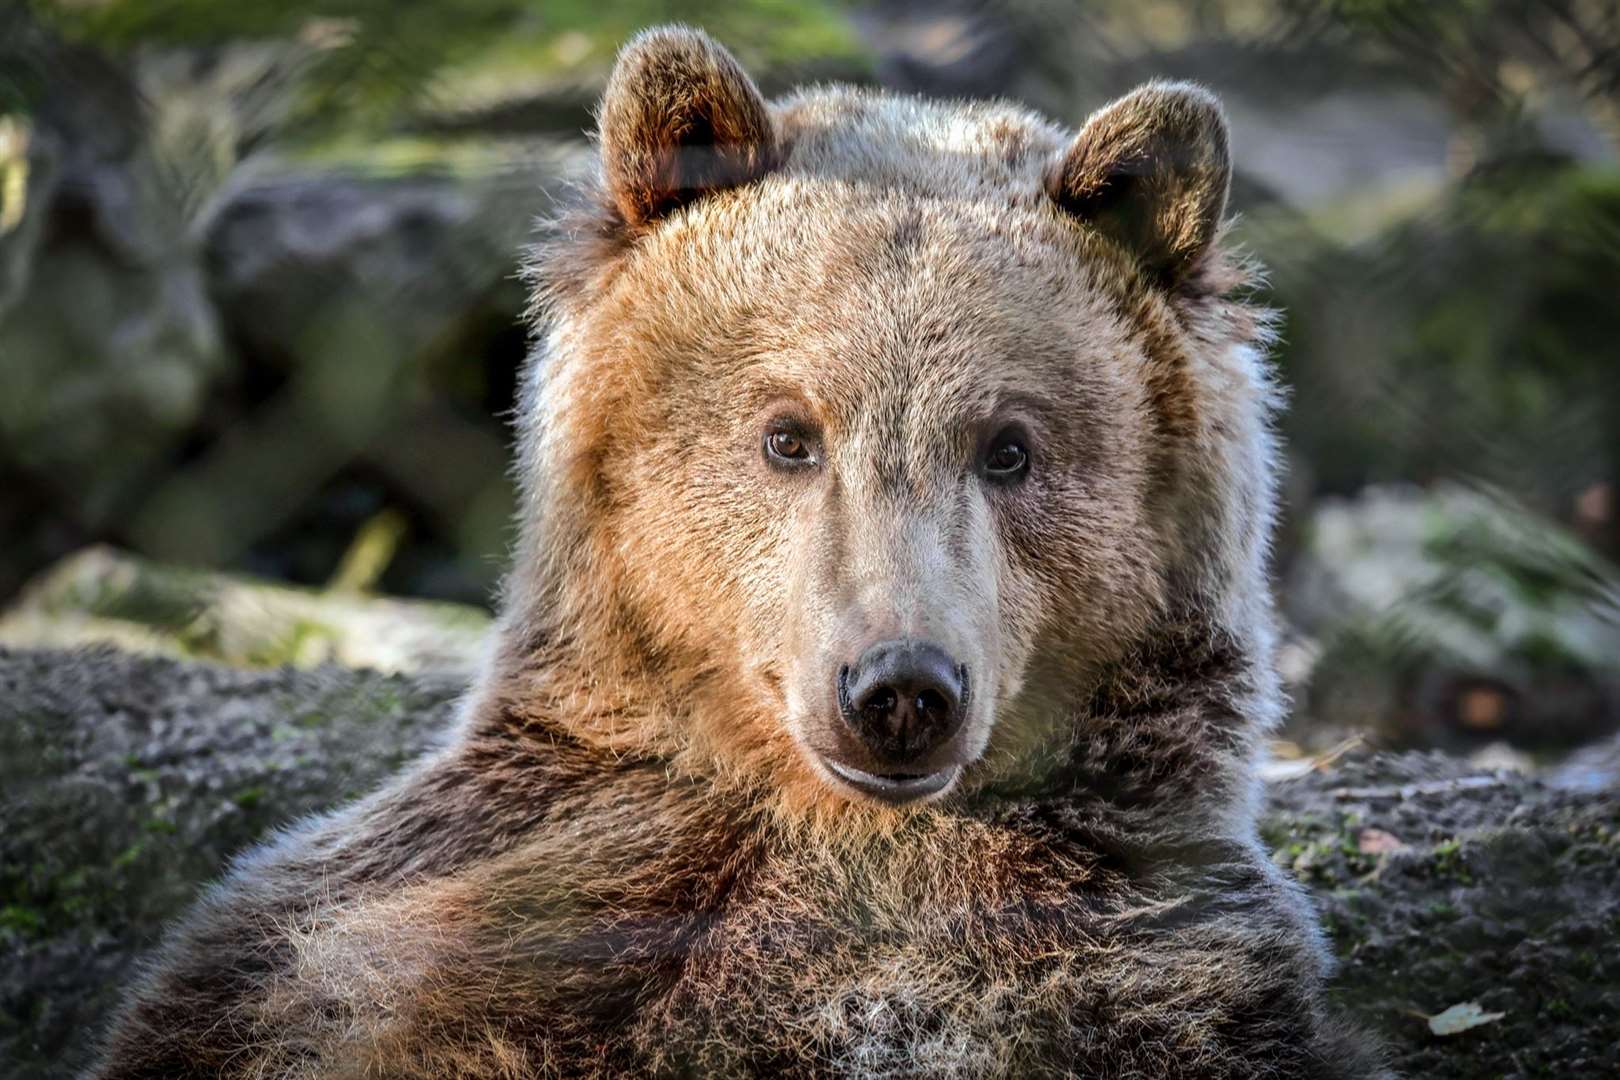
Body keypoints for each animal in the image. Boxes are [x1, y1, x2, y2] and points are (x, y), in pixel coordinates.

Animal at [88, 25, 1386, 1080]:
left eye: (1009, 447)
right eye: (788, 434)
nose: (899, 688)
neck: (833, 829)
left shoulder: (1151, 961)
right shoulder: (436, 916)